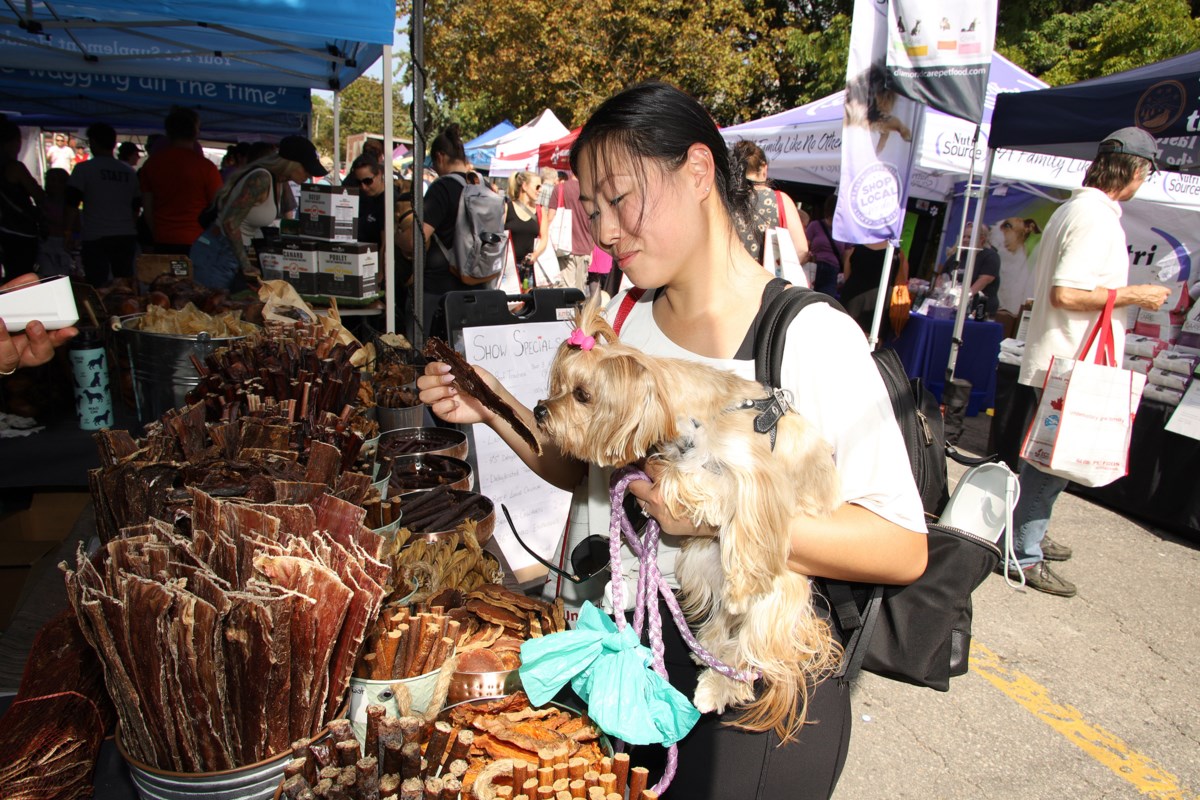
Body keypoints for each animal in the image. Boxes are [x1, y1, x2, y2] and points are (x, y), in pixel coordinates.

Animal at [535, 296, 844, 743]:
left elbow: (733, 505)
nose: (540, 410)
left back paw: (719, 682)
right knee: (722, 626)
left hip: (778, 597)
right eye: (557, 385)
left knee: (750, 649)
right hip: (699, 559)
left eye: (582, 394)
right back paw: (709, 653)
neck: (704, 417)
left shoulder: (760, 480)